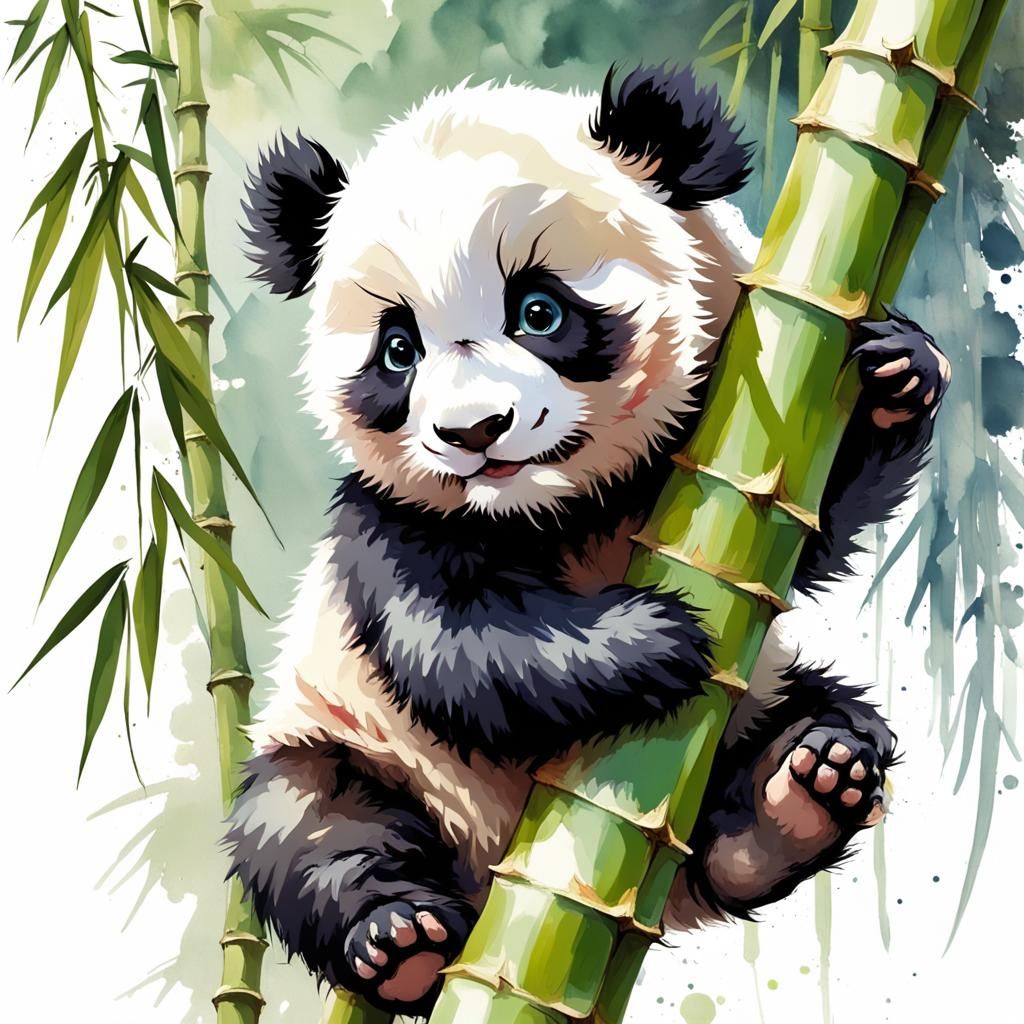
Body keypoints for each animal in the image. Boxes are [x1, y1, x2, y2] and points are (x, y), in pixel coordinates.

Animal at [225, 66, 948, 1016]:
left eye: (538, 310)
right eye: (398, 349)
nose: (473, 432)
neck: (561, 505)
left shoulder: (733, 441)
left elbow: (811, 527)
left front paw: (899, 374)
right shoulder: (384, 526)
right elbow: (456, 642)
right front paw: (659, 640)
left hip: (759, 702)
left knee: (809, 733)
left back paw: (803, 787)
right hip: (344, 738)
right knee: (307, 826)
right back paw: (398, 941)